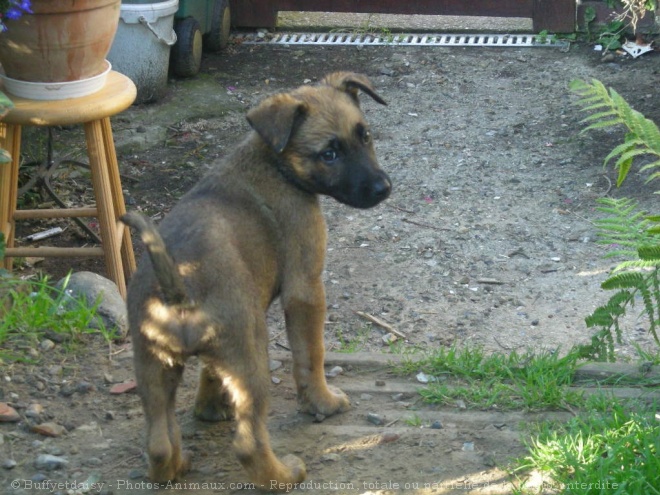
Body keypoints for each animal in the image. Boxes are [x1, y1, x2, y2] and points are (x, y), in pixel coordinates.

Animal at [122, 71, 392, 490]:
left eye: (364, 136)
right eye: (329, 154)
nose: (383, 189)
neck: (274, 161)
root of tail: (178, 291)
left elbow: (211, 372)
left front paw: (210, 408)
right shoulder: (305, 288)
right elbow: (311, 355)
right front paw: (323, 402)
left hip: (153, 364)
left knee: (158, 442)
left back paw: (177, 465)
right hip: (251, 355)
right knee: (249, 443)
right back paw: (284, 474)